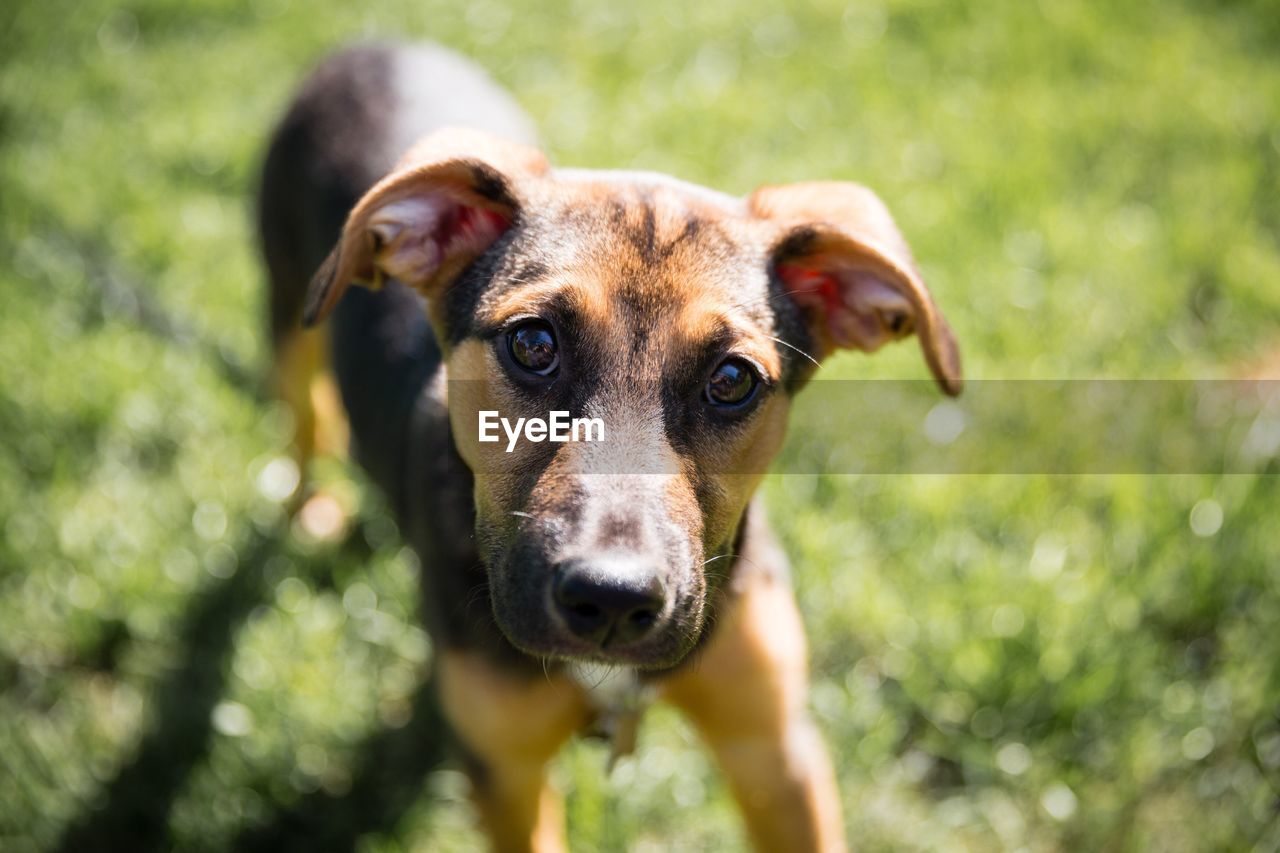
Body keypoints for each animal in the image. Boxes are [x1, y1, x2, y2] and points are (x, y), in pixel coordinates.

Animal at [259, 39, 962, 850]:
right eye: (533, 342)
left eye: (732, 379)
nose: (613, 600)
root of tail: (374, 44)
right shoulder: (508, 774)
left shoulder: (776, 750)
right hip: (289, 312)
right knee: (307, 418)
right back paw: (311, 509)